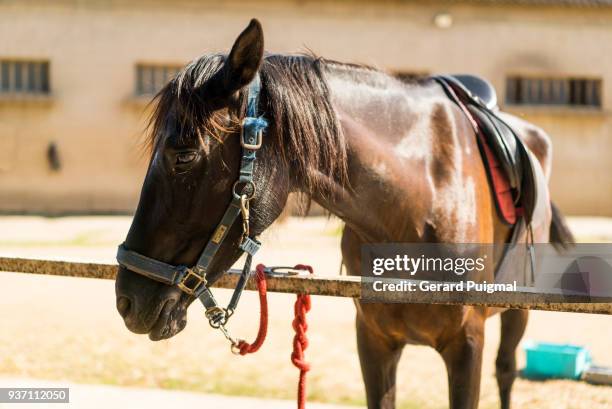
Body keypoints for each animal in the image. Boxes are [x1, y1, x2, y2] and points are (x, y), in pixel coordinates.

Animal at [115, 19, 572, 408]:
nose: (127, 302)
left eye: (184, 155)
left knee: (506, 371)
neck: (419, 202)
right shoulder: (373, 340)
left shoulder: (467, 345)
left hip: (518, 310)